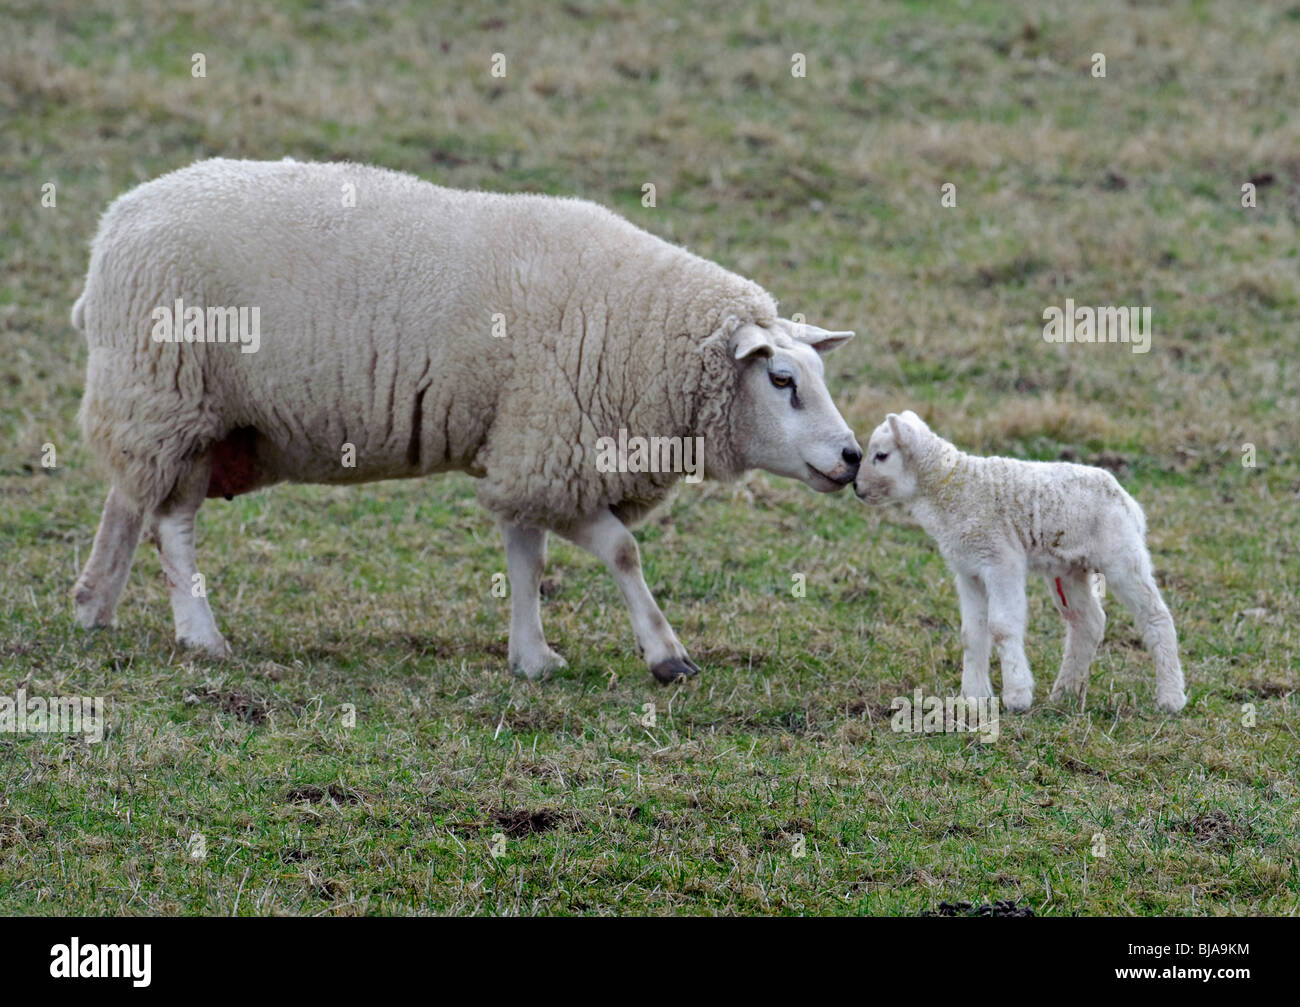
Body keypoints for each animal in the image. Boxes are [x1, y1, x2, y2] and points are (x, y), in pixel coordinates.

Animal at [71, 157, 863, 680]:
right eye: (783, 380)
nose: (854, 456)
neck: (636, 327)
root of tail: (113, 226)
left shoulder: (530, 449)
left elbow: (526, 556)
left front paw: (532, 656)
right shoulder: (551, 448)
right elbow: (621, 551)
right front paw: (667, 655)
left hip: (164, 404)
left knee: (128, 501)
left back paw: (93, 605)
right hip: (172, 392)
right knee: (172, 522)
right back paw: (199, 635)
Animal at [852, 410, 1190, 717]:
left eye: (881, 455)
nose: (856, 487)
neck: (951, 490)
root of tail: (1127, 500)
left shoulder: (1001, 561)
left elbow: (1002, 627)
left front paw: (1017, 696)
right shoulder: (968, 570)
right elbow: (971, 633)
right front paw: (973, 697)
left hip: (1122, 555)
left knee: (1156, 616)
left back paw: (1171, 698)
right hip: (1070, 569)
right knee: (1088, 622)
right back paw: (1065, 695)